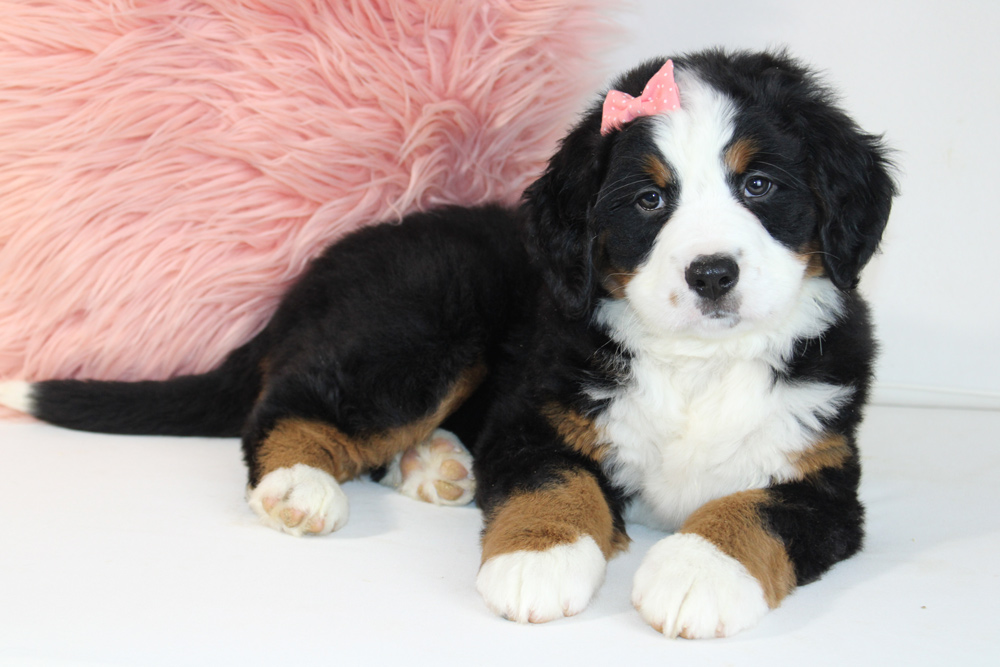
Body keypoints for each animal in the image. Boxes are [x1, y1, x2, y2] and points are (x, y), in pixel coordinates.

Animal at [0, 49, 895, 638]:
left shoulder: (822, 473)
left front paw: (693, 571)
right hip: (421, 324)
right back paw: (300, 483)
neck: (696, 366)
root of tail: (321, 269)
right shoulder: (537, 418)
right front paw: (539, 558)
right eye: (649, 200)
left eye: (760, 184)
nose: (711, 273)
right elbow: (554, 483)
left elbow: (758, 510)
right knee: (288, 407)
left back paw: (435, 464)